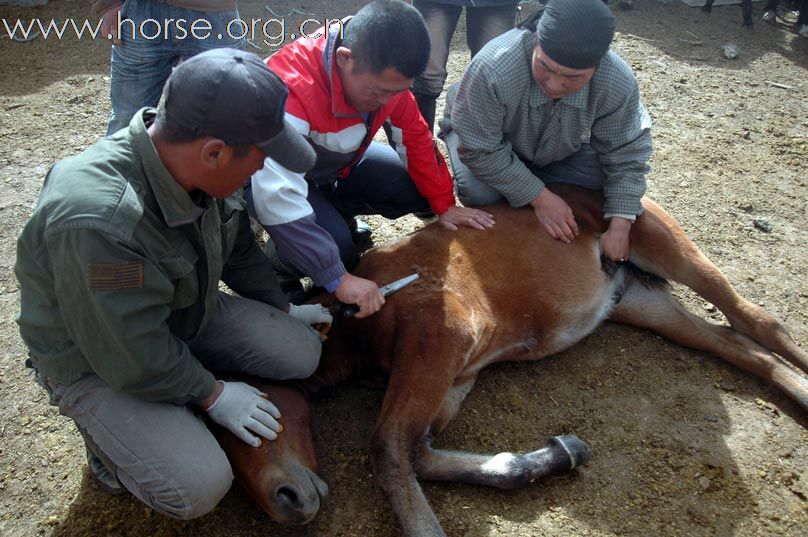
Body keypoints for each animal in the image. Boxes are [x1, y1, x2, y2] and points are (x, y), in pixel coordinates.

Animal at [216, 185, 808, 536]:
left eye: (254, 413)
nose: (286, 501)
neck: (360, 314)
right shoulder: (455, 376)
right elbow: (420, 452)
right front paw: (556, 455)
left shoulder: (440, 341)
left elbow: (389, 450)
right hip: (642, 305)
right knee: (735, 345)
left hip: (668, 249)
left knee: (759, 321)